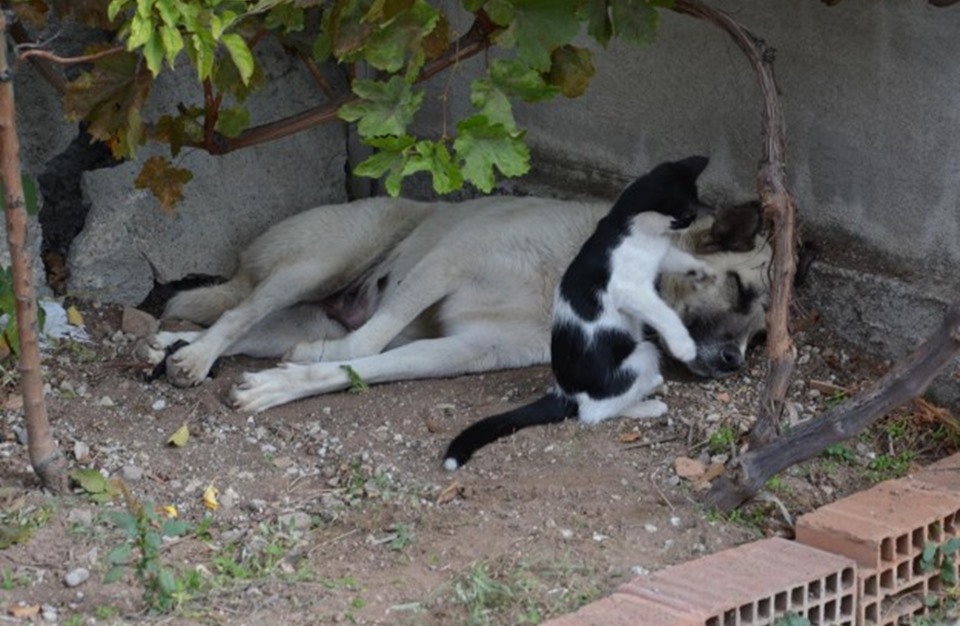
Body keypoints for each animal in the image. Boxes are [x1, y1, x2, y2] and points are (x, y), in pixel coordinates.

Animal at [446, 156, 716, 468]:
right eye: (684, 215)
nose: (692, 221)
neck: (627, 226)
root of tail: (566, 392)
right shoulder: (630, 289)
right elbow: (662, 312)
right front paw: (685, 347)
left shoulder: (658, 256)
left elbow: (674, 257)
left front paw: (702, 270)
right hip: (640, 355)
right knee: (594, 412)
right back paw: (647, 402)